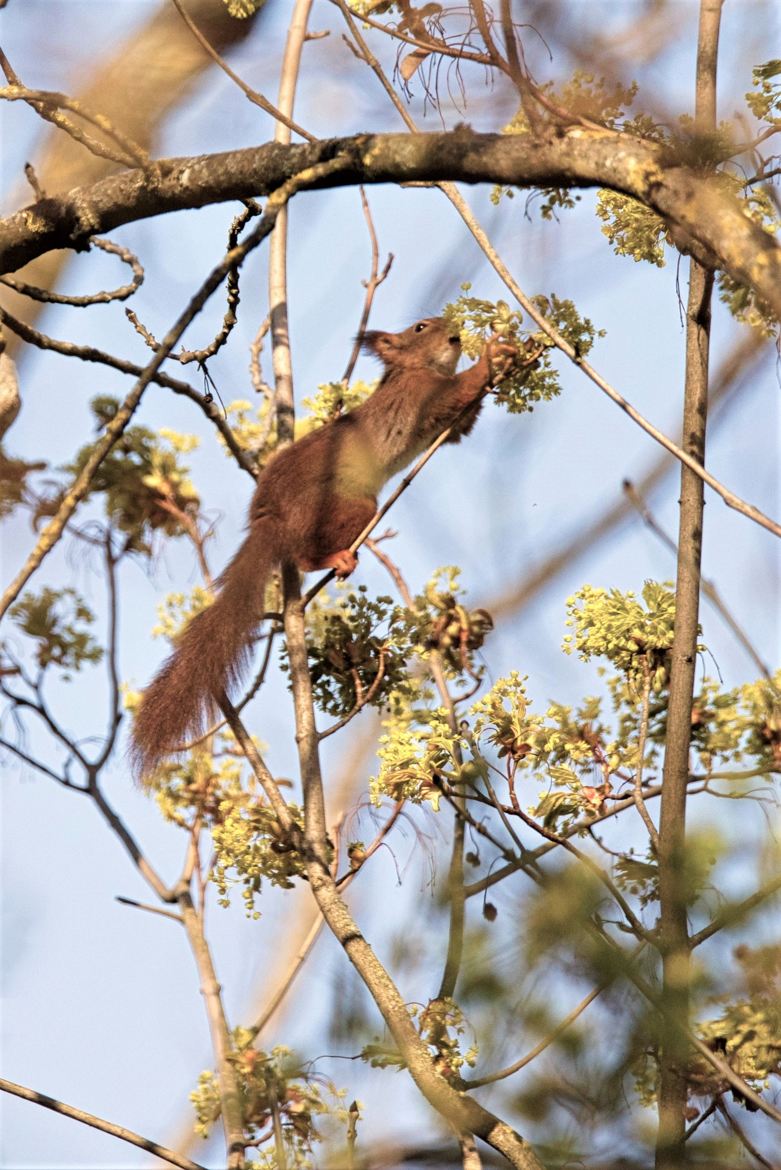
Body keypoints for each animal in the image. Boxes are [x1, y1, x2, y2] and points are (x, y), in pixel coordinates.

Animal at [130, 320, 519, 776]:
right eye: (421, 326)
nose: (455, 330)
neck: (412, 370)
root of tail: (270, 520)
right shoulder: (421, 396)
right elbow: (458, 391)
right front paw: (496, 353)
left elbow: (459, 428)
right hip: (349, 505)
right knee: (304, 553)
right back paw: (337, 558)